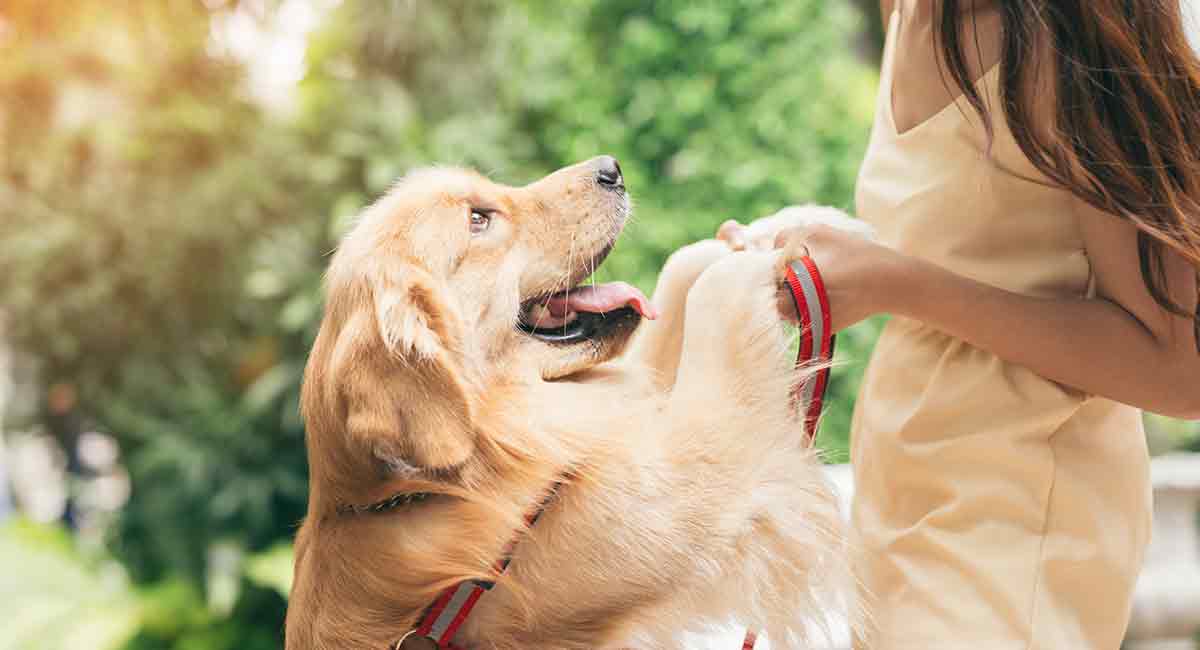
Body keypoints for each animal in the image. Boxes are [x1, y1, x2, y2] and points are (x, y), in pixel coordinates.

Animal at [285, 155, 859, 647]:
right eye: (478, 219)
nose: (612, 168)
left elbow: (682, 273)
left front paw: (789, 226)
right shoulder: (691, 487)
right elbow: (714, 297)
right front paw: (764, 256)